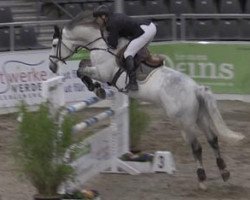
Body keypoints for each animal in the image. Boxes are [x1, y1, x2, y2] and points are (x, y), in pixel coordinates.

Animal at [48, 12, 244, 189]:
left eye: (54, 44)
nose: (51, 66)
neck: (100, 44)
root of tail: (196, 89)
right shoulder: (97, 67)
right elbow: (82, 64)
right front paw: (97, 88)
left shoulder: (103, 72)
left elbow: (81, 70)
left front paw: (97, 89)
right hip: (200, 117)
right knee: (213, 140)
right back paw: (224, 173)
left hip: (184, 122)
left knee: (197, 147)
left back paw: (202, 179)